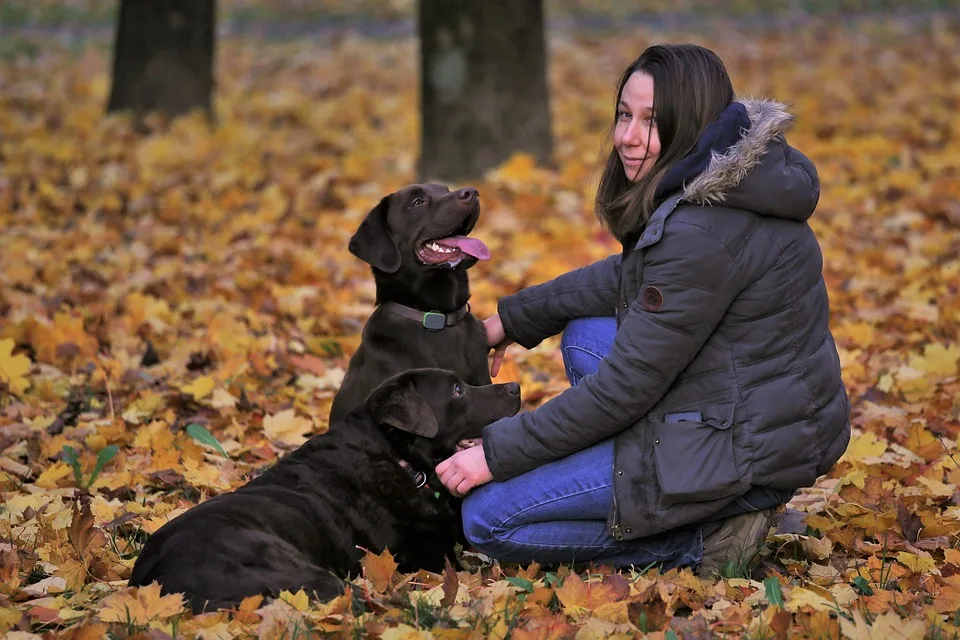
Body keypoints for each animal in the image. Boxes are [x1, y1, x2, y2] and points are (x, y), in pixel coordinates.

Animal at [128, 370, 520, 616]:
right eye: (457, 390)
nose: (516, 387)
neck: (400, 460)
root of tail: (151, 582)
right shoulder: (424, 557)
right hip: (301, 574)